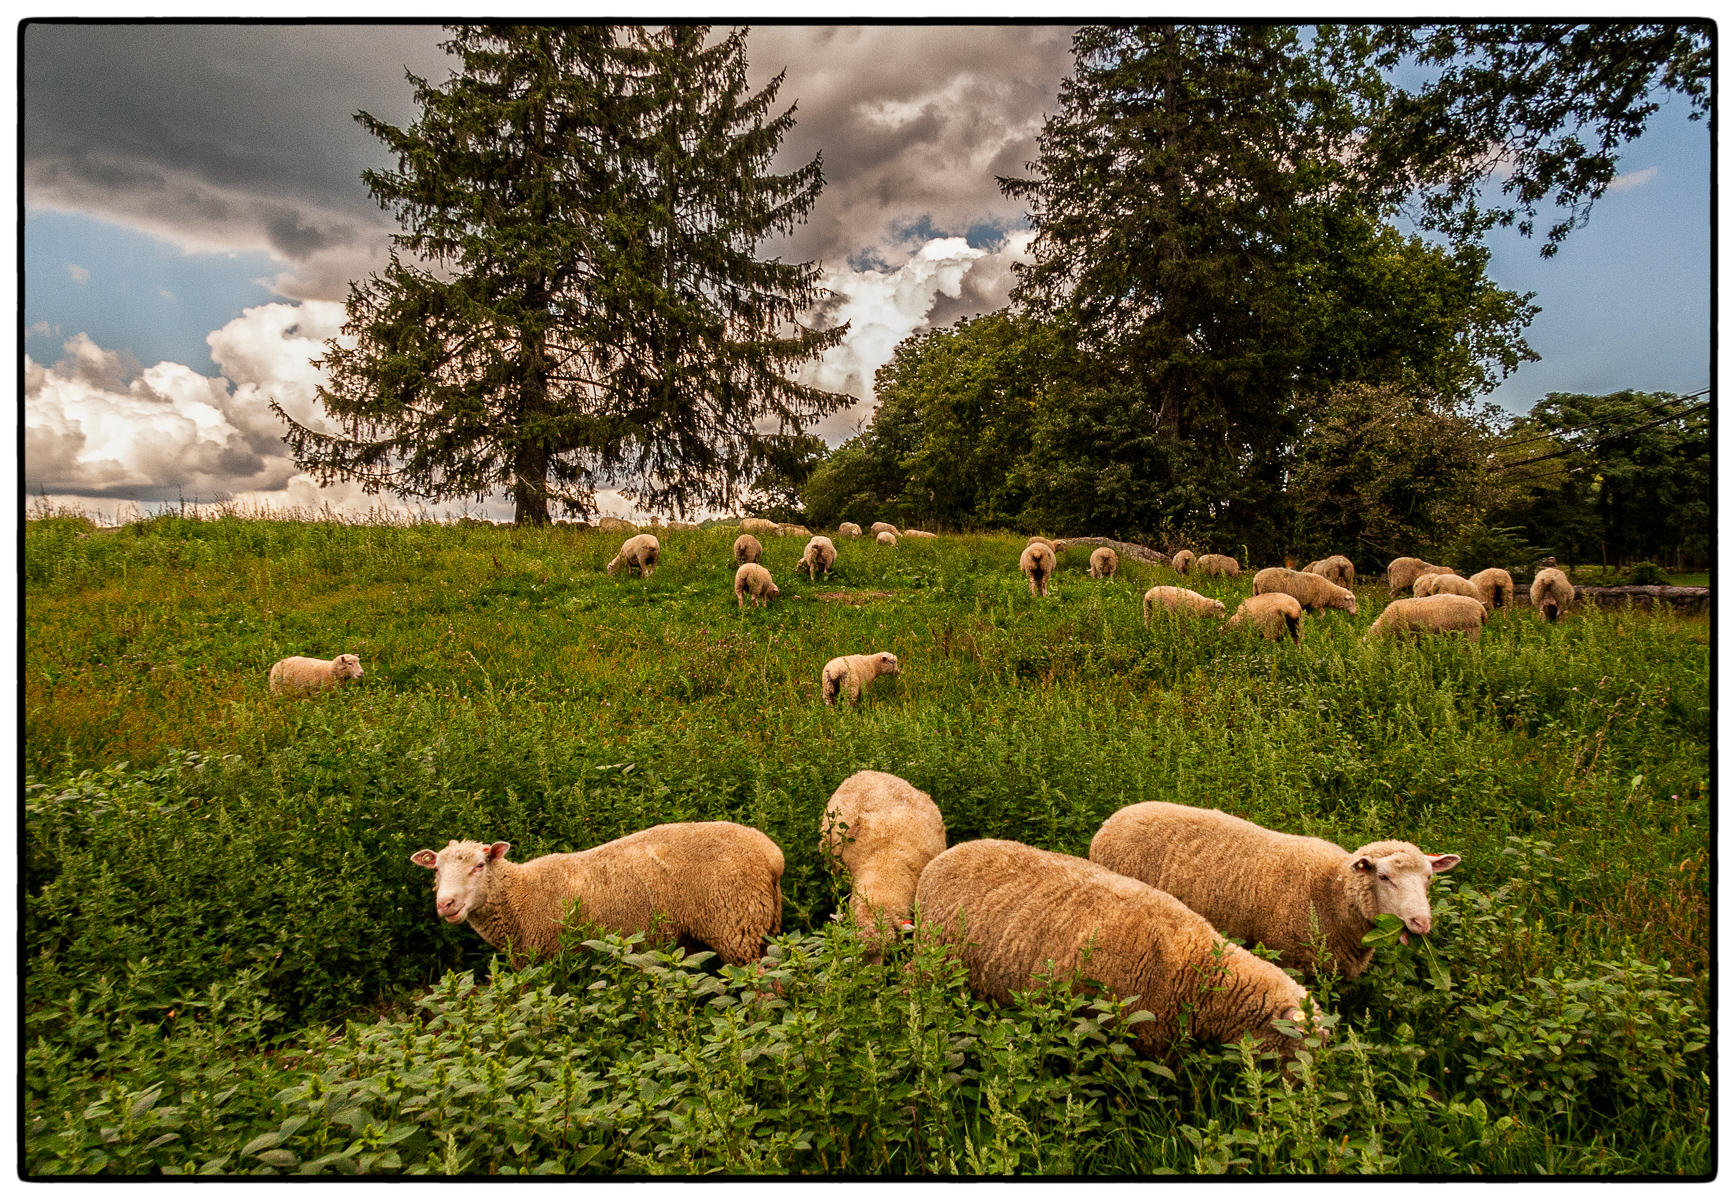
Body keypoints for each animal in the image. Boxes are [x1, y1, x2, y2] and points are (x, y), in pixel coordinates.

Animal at [409, 821, 784, 971]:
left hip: (737, 927)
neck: (520, 895)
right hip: (762, 927)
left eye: (479, 865)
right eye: (436, 870)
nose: (445, 904)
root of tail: (771, 855)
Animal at [1089, 797, 1457, 978]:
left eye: (1428, 878)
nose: (1422, 923)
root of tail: (1113, 819)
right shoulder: (1293, 960)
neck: (1330, 892)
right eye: (1384, 877)